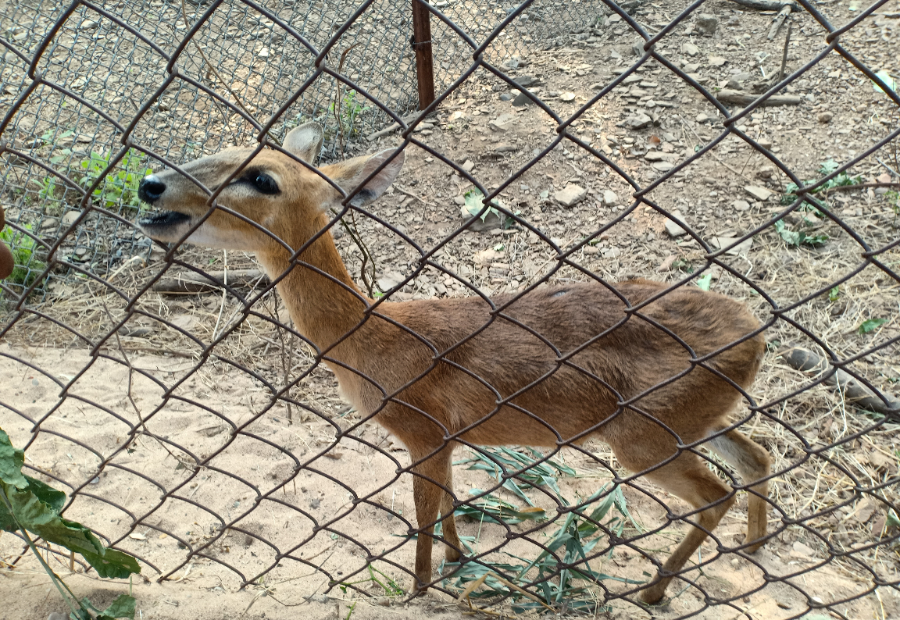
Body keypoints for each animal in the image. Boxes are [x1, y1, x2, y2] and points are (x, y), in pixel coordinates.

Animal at [137, 121, 768, 604]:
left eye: (262, 178)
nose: (150, 185)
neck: (373, 342)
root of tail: (756, 334)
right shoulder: (449, 434)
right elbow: (448, 500)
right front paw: (457, 556)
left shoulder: (423, 427)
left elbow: (422, 512)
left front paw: (417, 587)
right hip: (694, 418)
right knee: (755, 457)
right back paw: (753, 543)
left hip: (644, 433)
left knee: (718, 493)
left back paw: (654, 590)